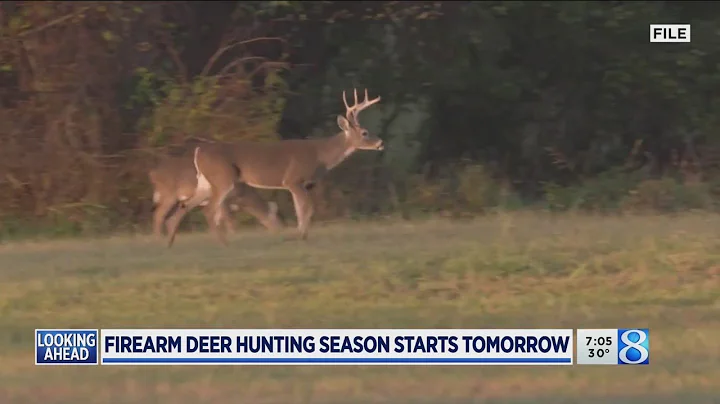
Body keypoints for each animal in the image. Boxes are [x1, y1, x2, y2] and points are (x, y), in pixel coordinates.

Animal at [148, 153, 284, 246]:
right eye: (276, 218)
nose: (280, 230)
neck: (243, 197)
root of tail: (153, 173)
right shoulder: (225, 199)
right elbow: (229, 219)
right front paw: (233, 235)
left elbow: (219, 219)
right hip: (169, 193)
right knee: (158, 214)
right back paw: (159, 239)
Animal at [164, 88, 384, 246]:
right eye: (364, 132)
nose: (380, 142)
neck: (320, 155)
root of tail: (199, 150)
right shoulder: (294, 179)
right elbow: (307, 209)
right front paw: (300, 237)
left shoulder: (297, 185)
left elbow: (300, 210)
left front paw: (298, 236)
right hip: (223, 178)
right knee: (209, 210)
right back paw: (224, 244)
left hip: (205, 181)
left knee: (184, 206)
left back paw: (170, 243)